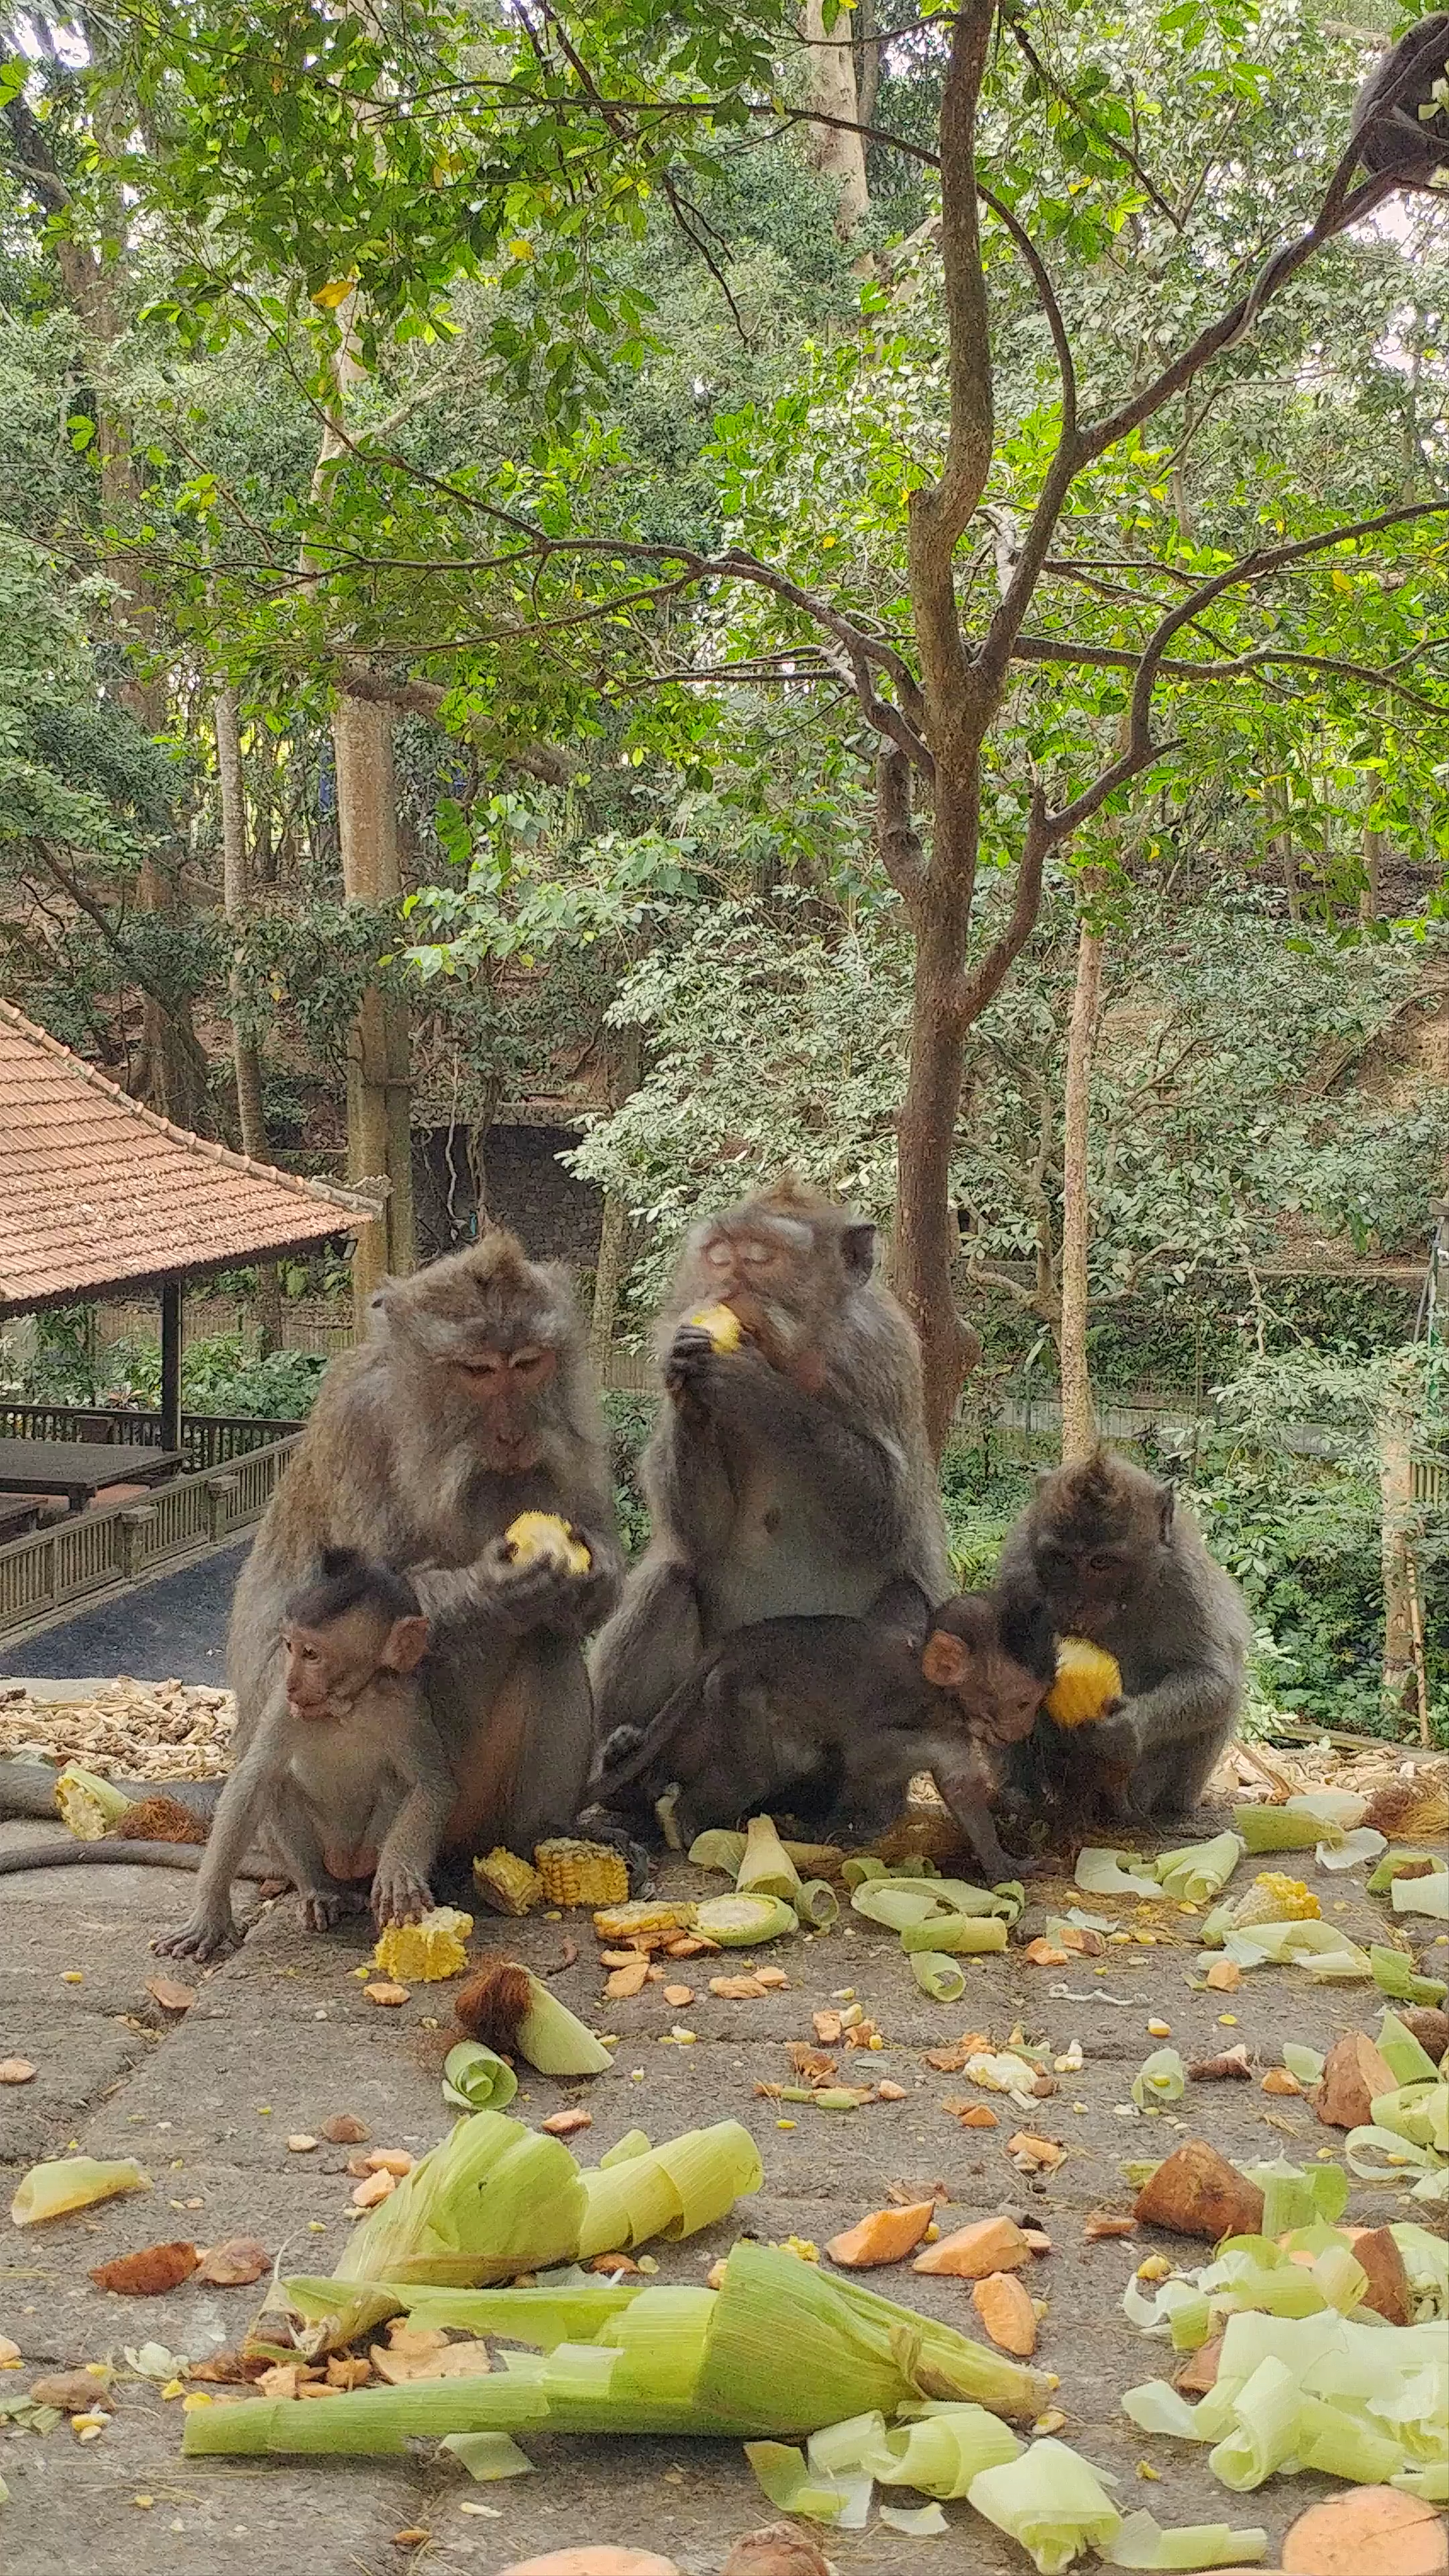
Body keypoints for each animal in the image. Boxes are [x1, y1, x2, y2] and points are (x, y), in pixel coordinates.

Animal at [151, 1549, 453, 1958]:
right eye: (289, 1647)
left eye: (311, 1653)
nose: (293, 1681)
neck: (344, 1706)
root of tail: (342, 1869)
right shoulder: (282, 1705)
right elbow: (254, 1779)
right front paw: (210, 1913)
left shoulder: (406, 1706)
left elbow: (432, 1784)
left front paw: (399, 1871)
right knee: (277, 1786)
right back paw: (320, 1891)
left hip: (362, 1853)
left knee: (396, 1787)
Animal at [588, 1181, 952, 1750]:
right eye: (719, 1256)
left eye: (760, 1257)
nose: (729, 1287)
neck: (794, 1358)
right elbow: (698, 1535)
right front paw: (690, 1387)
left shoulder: (879, 1352)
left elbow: (888, 1515)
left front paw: (752, 1382)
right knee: (668, 1582)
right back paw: (620, 1744)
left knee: (904, 1604)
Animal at [590, 1577, 1058, 1884]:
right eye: (1022, 1702)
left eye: (1034, 1702)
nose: (1022, 1727)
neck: (939, 1696)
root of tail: (739, 1641)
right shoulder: (906, 1723)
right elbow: (864, 1758)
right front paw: (838, 1827)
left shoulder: (955, 1733)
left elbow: (961, 1789)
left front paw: (1005, 1866)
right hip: (736, 1691)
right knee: (755, 1773)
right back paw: (688, 1823)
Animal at [995, 1450, 1250, 1829]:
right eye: (1061, 1558)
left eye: (1102, 1562)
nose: (1076, 1603)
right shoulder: (1017, 1569)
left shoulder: (1183, 1578)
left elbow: (1215, 1681)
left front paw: (1126, 1728)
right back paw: (1019, 1796)